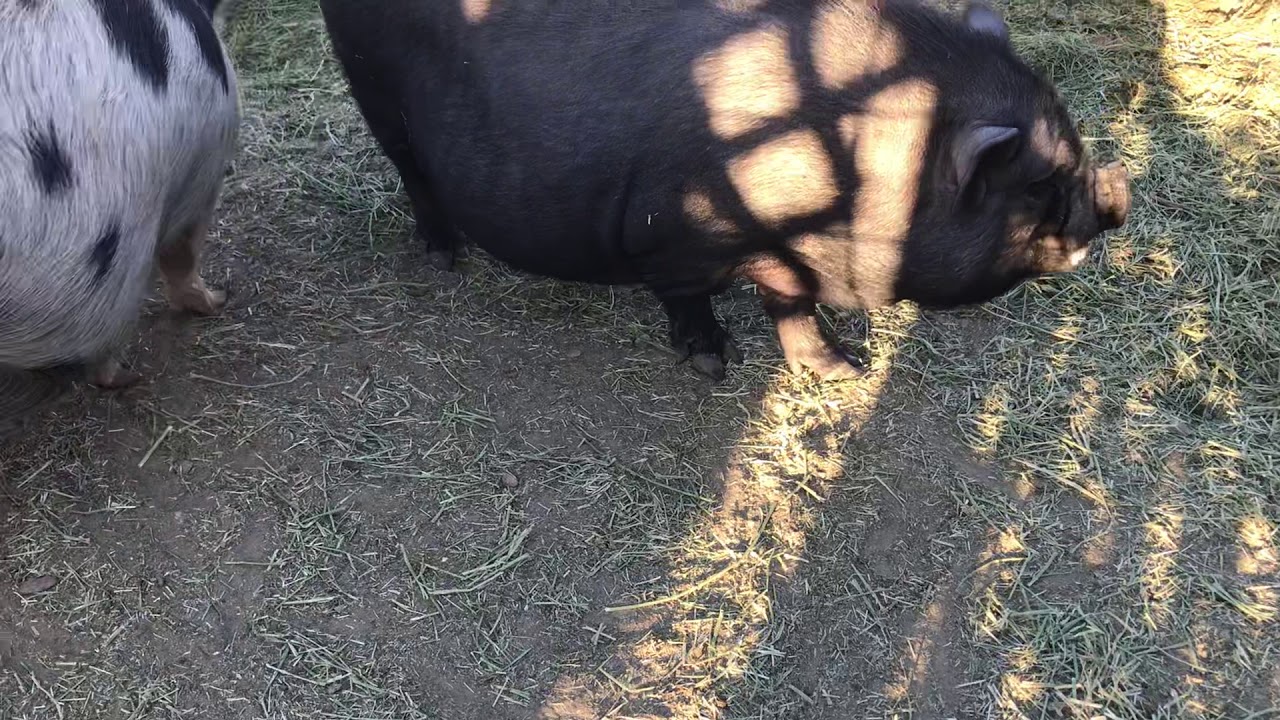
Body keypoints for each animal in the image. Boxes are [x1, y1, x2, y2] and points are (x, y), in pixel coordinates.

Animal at [318, 0, 1130, 381]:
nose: (1113, 200)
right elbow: (690, 299)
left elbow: (789, 304)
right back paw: (443, 257)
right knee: (415, 178)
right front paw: (713, 363)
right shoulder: (671, 235)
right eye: (1037, 185)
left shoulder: (786, 254)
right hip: (374, 92)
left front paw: (844, 369)